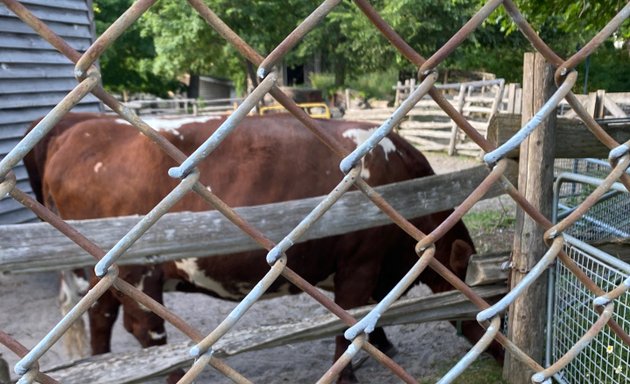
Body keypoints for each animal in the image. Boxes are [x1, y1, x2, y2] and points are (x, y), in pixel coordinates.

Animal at [29, 113, 502, 384]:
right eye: (497, 299)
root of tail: (79, 131)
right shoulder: (359, 263)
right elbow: (350, 319)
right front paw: (349, 371)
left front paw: (382, 345)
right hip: (135, 269)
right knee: (145, 329)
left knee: (101, 317)